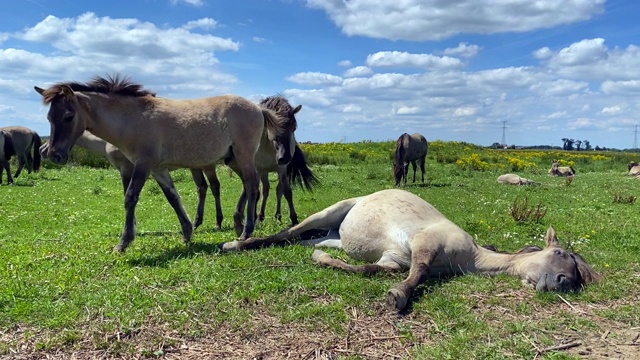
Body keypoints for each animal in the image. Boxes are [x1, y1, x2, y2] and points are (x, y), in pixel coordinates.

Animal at [35, 74, 296, 252]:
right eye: (48, 117)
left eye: (68, 117)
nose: (54, 155)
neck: (134, 119)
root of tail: (258, 108)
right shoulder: (158, 170)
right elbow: (173, 198)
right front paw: (188, 232)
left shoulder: (142, 165)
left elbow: (130, 197)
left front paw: (123, 242)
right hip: (234, 159)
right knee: (249, 186)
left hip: (244, 156)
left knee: (252, 187)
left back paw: (246, 231)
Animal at [220, 190, 600, 310]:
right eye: (561, 254)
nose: (564, 282)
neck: (470, 256)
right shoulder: (425, 245)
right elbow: (416, 275)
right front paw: (397, 297)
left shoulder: (393, 259)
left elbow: (368, 269)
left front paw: (322, 262)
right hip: (331, 210)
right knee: (286, 232)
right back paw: (234, 243)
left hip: (333, 236)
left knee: (304, 240)